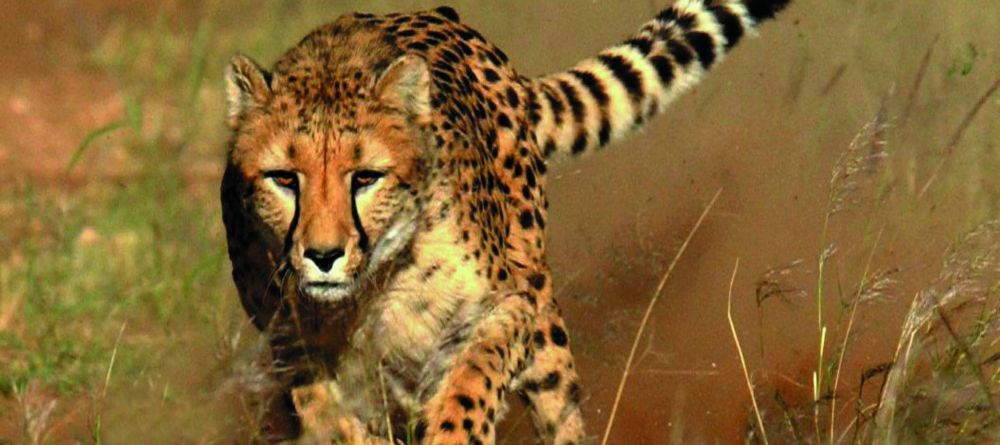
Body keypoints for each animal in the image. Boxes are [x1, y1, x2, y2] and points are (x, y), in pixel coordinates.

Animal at [220, 1, 792, 443]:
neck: (370, 289)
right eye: (283, 178)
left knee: (561, 416)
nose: (323, 255)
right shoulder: (288, 341)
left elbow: (475, 375)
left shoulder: (510, 305)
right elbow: (322, 408)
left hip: (543, 322)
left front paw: (455, 430)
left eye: (365, 178)